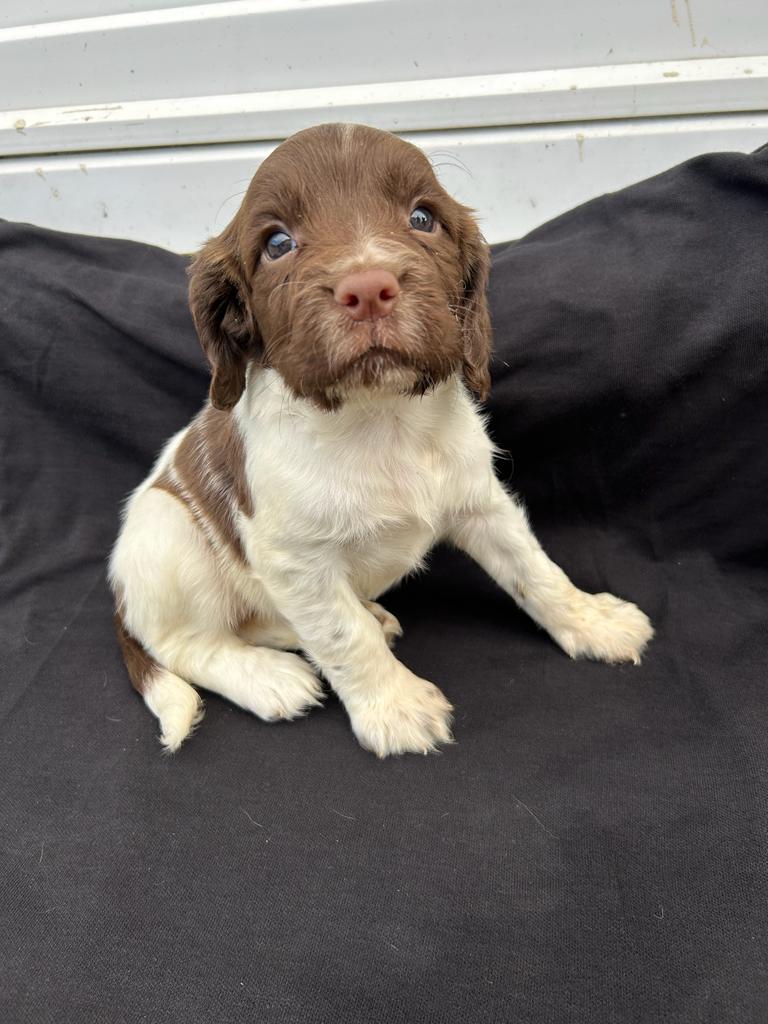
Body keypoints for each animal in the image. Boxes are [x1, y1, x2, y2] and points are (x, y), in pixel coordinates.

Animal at [111, 123, 655, 757]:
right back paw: (269, 678)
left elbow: (536, 570)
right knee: (186, 643)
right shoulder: (295, 561)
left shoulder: (481, 502)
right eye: (277, 244)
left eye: (422, 218)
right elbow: (343, 636)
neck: (380, 419)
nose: (369, 288)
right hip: (169, 535)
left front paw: (592, 621)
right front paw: (394, 707)